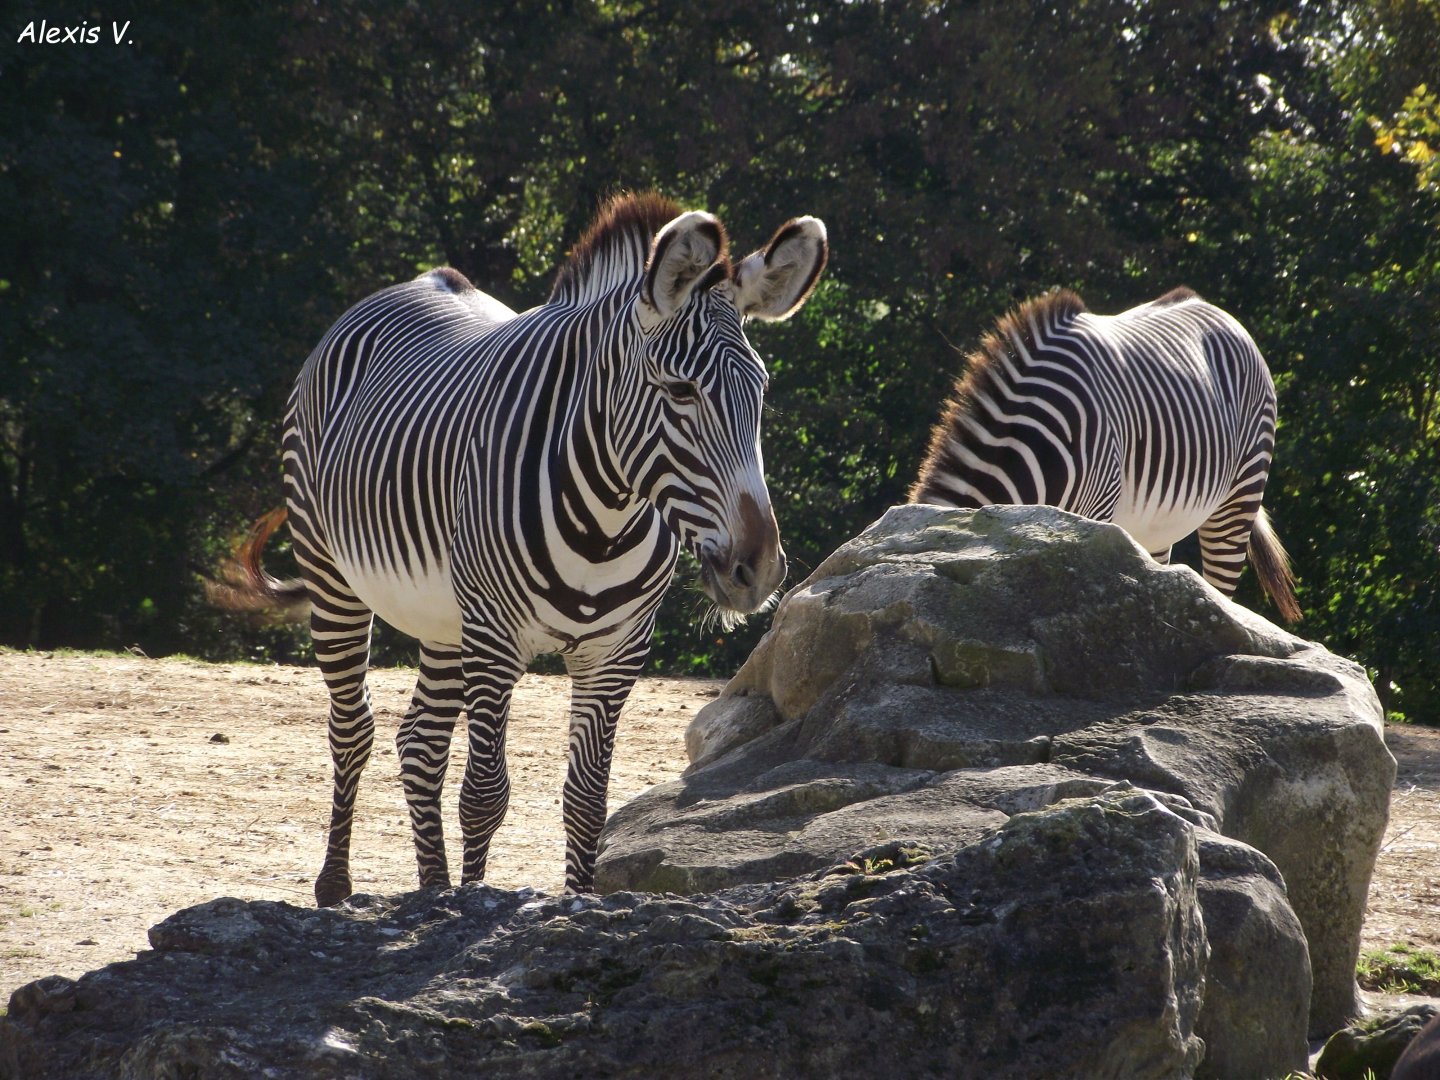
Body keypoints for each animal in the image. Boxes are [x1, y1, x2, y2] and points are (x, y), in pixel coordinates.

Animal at [216, 193, 828, 903]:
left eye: (761, 392)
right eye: (680, 391)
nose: (757, 570)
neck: (605, 519)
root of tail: (424, 279)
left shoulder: (616, 652)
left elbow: (587, 801)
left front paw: (564, 903)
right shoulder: (494, 639)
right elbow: (485, 794)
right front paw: (474, 907)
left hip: (444, 620)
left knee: (420, 744)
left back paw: (431, 888)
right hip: (335, 577)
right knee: (354, 728)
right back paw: (337, 884)